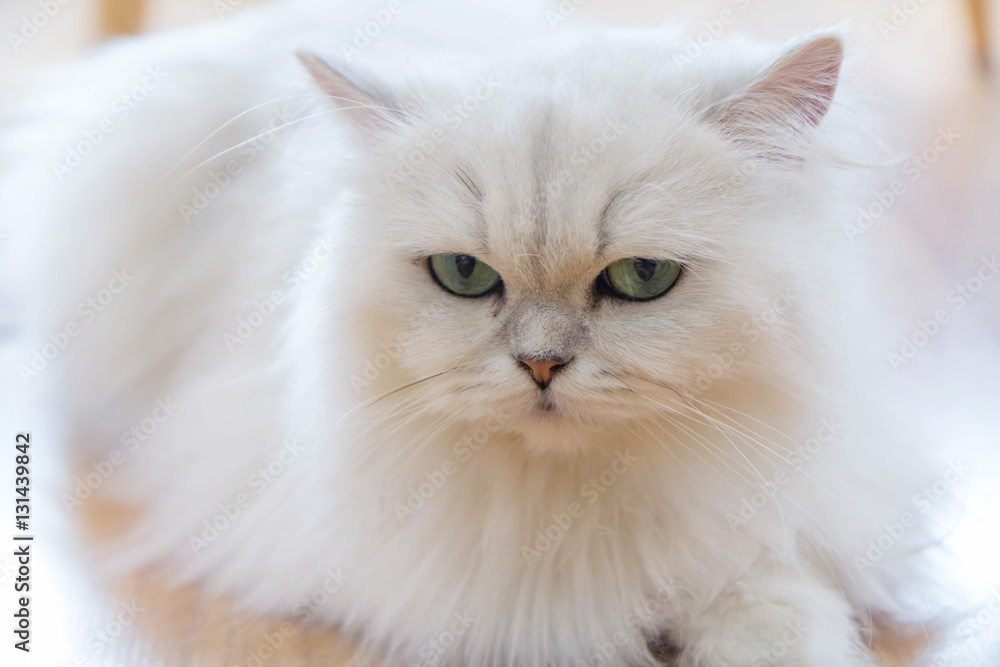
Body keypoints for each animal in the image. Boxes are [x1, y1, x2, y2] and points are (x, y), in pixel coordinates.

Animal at [3, 0, 964, 664]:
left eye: (641, 280)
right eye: (464, 276)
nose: (540, 364)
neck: (573, 502)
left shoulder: (798, 510)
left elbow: (777, 604)